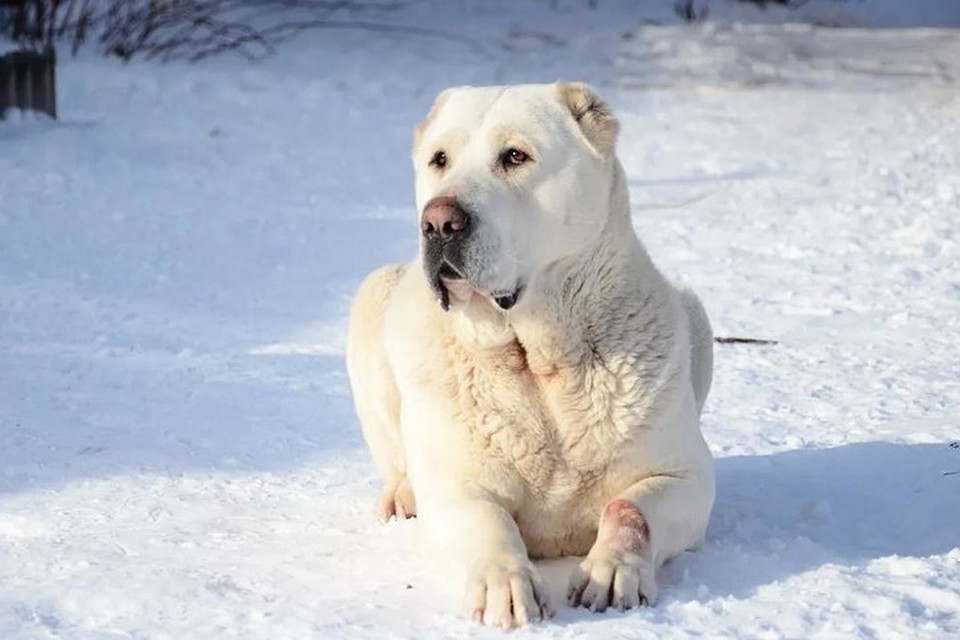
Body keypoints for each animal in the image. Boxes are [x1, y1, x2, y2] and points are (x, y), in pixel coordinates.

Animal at [344, 84, 712, 632]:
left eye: (515, 156)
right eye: (439, 159)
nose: (439, 221)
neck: (537, 359)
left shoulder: (688, 479)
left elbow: (630, 509)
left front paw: (612, 570)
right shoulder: (456, 490)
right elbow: (487, 522)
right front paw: (505, 584)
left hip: (696, 313)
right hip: (373, 294)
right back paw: (401, 494)